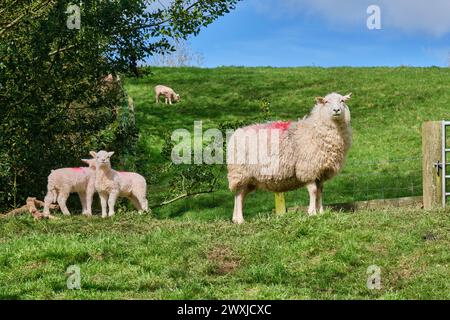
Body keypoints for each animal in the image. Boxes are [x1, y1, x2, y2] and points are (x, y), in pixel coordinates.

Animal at [227, 91, 354, 224]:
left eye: (342, 101)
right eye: (326, 102)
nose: (336, 110)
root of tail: (235, 134)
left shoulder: (321, 172)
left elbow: (320, 191)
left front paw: (321, 212)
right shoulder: (307, 169)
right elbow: (313, 191)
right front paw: (312, 213)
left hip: (250, 178)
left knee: (240, 195)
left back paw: (236, 219)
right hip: (240, 172)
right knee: (239, 195)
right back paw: (240, 220)